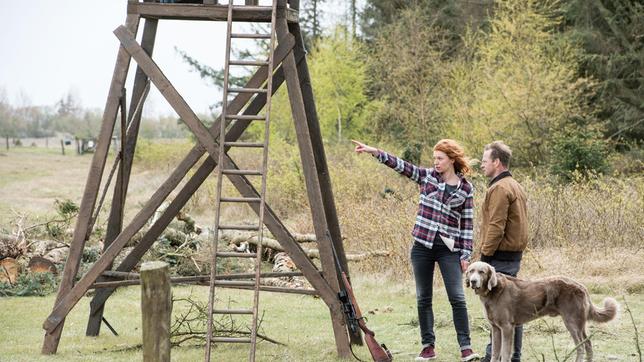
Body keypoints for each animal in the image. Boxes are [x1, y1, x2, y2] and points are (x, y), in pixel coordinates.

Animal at [466, 262, 616, 360]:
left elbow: (505, 353)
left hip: (572, 323)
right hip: (580, 324)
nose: (473, 281)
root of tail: (582, 286)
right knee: (588, 344)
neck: (493, 291)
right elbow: (495, 353)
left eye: (481, 272)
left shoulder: (507, 328)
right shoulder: (496, 328)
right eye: (471, 271)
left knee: (580, 347)